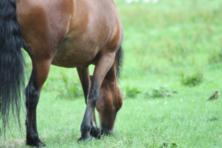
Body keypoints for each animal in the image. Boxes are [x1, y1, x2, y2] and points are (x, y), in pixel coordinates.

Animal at [0, 0, 122, 146]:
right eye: (117, 105)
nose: (108, 132)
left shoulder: (81, 64)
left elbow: (86, 94)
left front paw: (92, 130)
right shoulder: (106, 57)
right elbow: (93, 94)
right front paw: (86, 133)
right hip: (43, 61)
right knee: (32, 93)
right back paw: (34, 139)